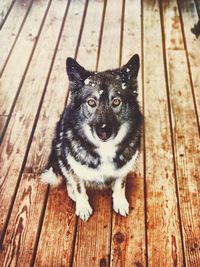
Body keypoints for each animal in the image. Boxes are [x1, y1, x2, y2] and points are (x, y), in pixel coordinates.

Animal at [41, 54, 142, 222]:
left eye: (116, 101)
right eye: (91, 102)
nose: (104, 133)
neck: (105, 149)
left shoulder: (124, 167)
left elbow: (120, 184)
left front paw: (119, 201)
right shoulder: (72, 167)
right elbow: (79, 187)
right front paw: (83, 206)